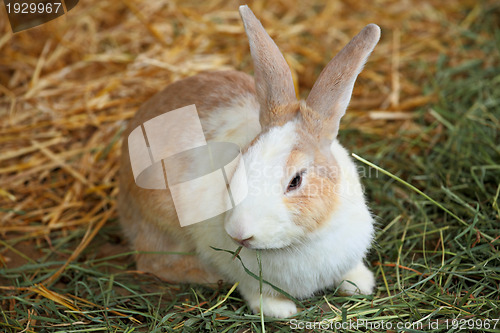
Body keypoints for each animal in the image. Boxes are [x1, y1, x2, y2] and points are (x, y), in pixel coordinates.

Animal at [119, 4, 380, 316]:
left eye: (295, 181)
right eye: (237, 165)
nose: (239, 233)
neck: (302, 241)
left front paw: (361, 284)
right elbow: (255, 292)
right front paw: (281, 311)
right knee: (152, 262)